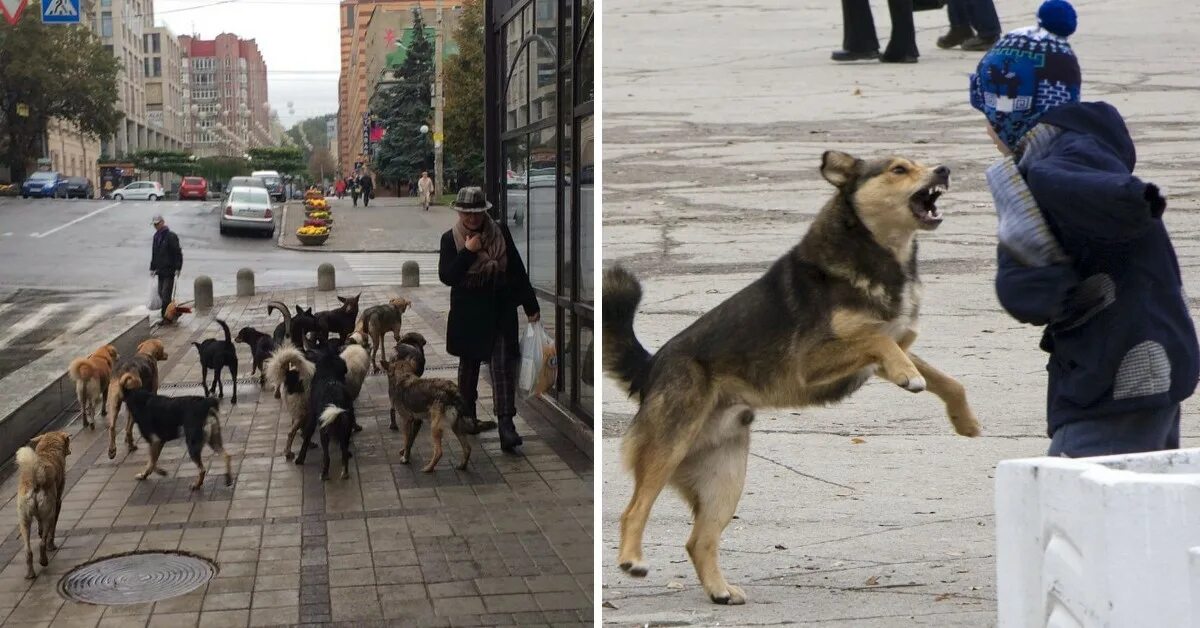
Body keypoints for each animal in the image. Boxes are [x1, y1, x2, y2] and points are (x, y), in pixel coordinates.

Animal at [16, 432, 70, 581]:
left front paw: (39, 531)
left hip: (24, 520)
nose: (70, 450)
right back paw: (44, 559)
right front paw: (51, 545)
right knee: (42, 543)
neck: (48, 450)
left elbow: (39, 522)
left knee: (28, 551)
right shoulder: (57, 503)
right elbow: (52, 530)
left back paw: (30, 573)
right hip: (49, 512)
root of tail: (35, 480)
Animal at [295, 343, 355, 482]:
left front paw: (300, 459)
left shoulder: (312, 417)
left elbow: (306, 438)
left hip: (324, 429)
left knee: (326, 457)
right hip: (346, 425)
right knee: (344, 451)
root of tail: (335, 399)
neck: (329, 375)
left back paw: (324, 474)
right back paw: (345, 473)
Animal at [604, 150, 979, 607]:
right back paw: (632, 559)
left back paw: (719, 590)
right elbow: (877, 340)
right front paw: (908, 376)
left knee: (698, 541)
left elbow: (946, 379)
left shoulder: (890, 346)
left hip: (725, 476)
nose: (943, 169)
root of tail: (652, 366)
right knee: (634, 510)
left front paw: (964, 419)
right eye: (898, 169)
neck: (875, 251)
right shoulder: (812, 360)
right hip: (669, 447)